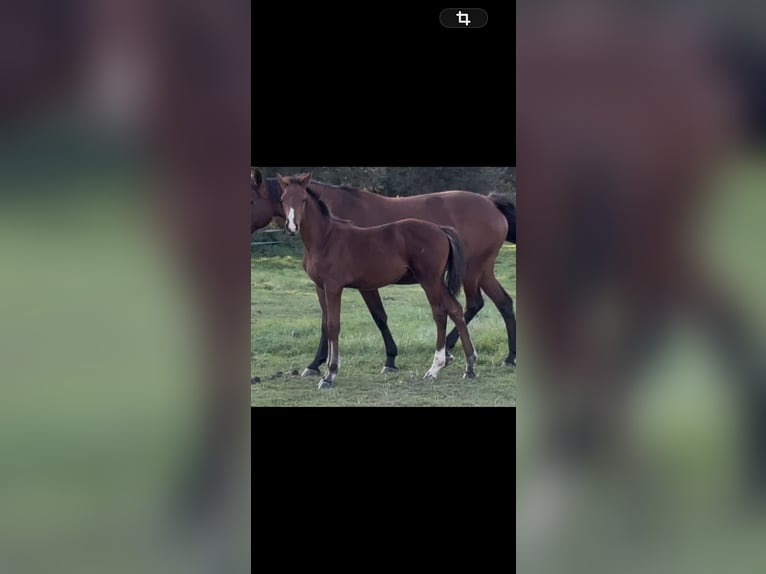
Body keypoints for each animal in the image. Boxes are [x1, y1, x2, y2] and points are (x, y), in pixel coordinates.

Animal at [251, 168, 516, 375]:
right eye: (282, 199)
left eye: (251, 200)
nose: (291, 226)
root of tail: (491, 203)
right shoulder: (324, 285)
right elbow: (328, 322)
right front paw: (317, 364)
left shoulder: (359, 284)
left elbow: (376, 316)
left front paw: (388, 360)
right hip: (480, 272)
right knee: (499, 302)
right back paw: (505, 358)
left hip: (467, 272)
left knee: (467, 306)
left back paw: (449, 354)